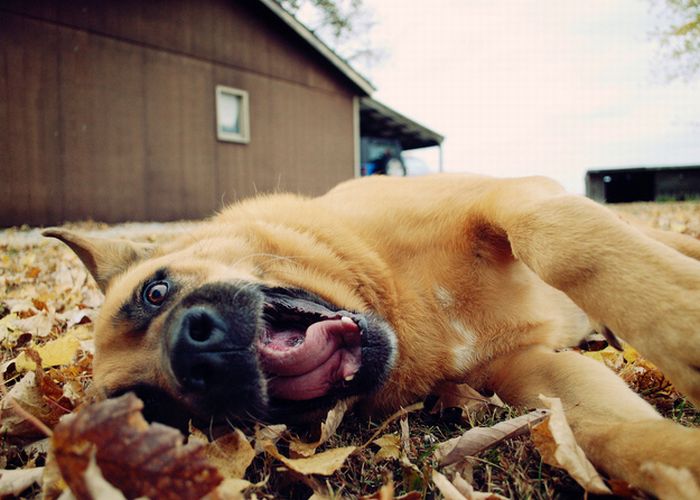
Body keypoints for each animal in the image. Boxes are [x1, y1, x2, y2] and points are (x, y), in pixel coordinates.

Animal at [45, 174, 700, 494]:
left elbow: (565, 246)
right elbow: (627, 439)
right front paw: (681, 464)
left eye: (154, 294)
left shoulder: (512, 201)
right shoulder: (537, 374)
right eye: (156, 411)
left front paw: (684, 330)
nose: (194, 354)